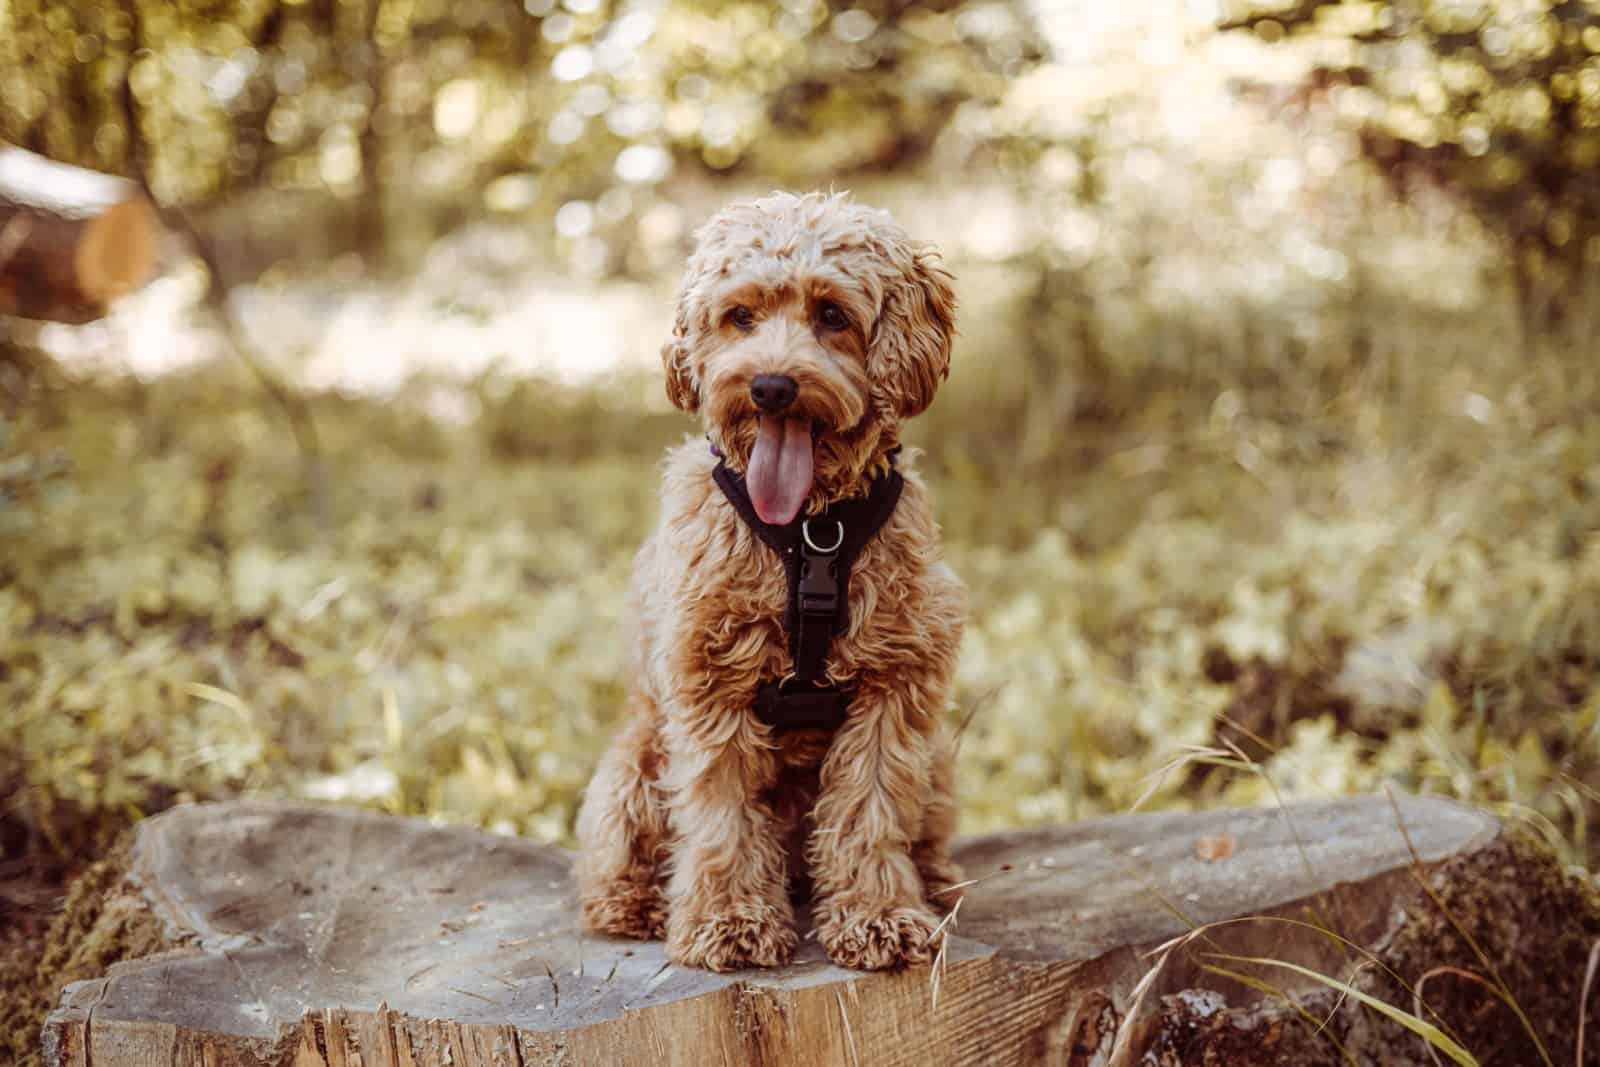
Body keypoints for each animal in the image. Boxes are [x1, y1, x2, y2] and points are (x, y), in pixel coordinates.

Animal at [582, 187, 966, 972]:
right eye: (740, 316)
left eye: (833, 314)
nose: (770, 386)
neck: (811, 532)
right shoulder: (709, 684)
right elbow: (722, 813)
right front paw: (727, 920)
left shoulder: (898, 681)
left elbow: (871, 808)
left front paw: (878, 914)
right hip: (634, 762)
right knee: (618, 853)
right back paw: (634, 905)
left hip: (940, 759)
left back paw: (934, 880)